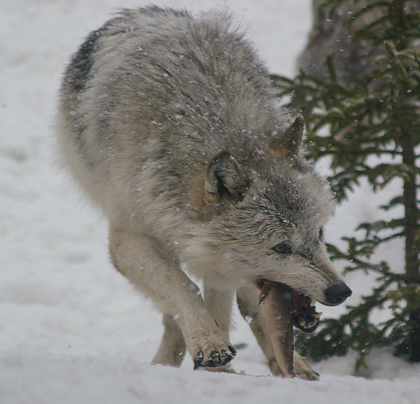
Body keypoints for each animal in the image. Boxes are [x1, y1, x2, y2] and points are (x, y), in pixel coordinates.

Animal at [55, 5, 352, 378]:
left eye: (320, 234)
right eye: (281, 247)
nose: (341, 292)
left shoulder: (217, 267)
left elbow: (219, 306)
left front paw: (219, 363)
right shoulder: (128, 239)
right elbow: (183, 287)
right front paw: (209, 346)